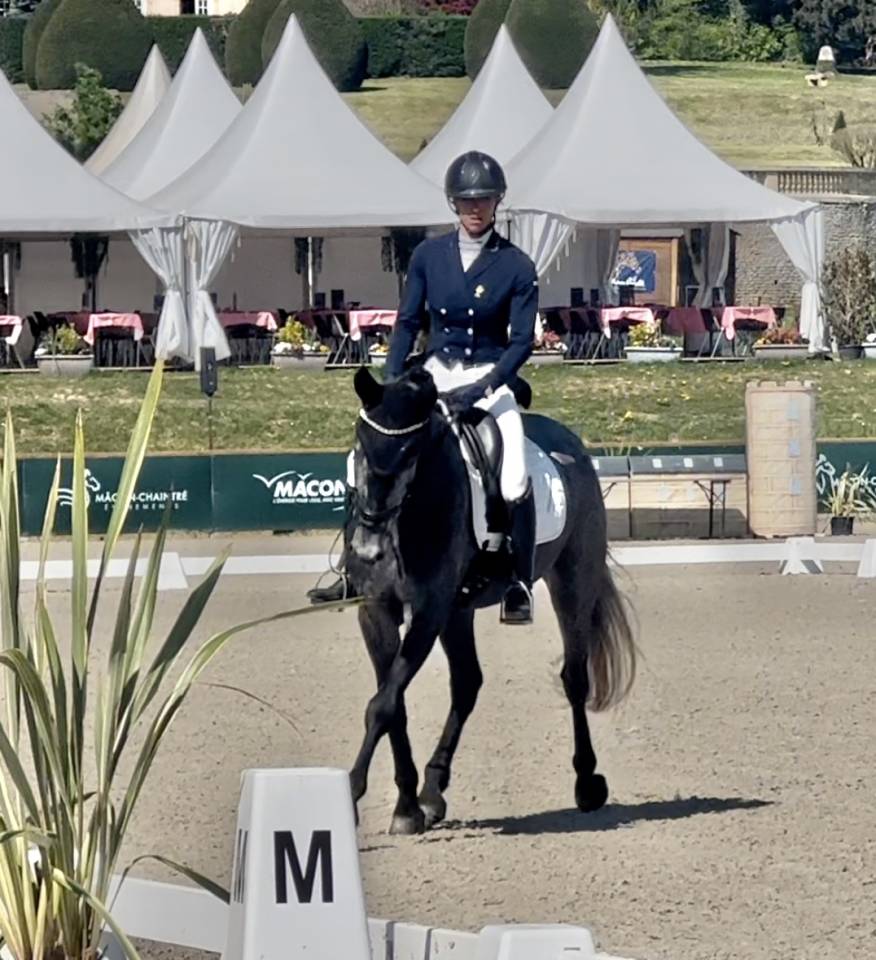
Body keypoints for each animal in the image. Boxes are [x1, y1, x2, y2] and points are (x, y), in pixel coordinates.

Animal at [345, 365, 636, 835]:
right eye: (360, 446)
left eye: (411, 454)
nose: (368, 549)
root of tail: (569, 443)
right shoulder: (376, 611)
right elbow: (394, 706)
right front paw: (407, 806)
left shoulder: (428, 612)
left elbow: (383, 705)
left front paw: (353, 792)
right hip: (459, 611)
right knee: (467, 682)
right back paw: (432, 791)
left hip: (572, 579)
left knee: (574, 679)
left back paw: (587, 782)